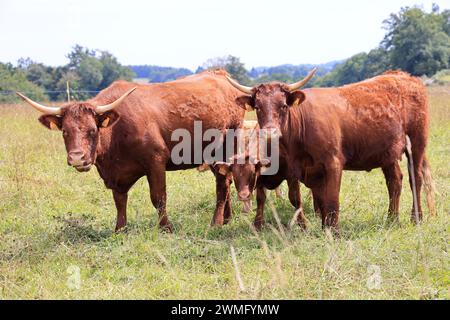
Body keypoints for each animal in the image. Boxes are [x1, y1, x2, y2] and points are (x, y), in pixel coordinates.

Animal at [17, 69, 244, 232]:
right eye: (65, 131)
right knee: (225, 181)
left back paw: (216, 222)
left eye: (92, 130)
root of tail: (219, 74)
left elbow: (158, 198)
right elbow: (119, 201)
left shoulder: (155, 161)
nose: (77, 158)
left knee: (222, 184)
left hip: (227, 145)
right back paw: (227, 218)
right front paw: (120, 230)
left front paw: (166, 228)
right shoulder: (115, 176)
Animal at [229, 70, 436, 234]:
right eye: (257, 107)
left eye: (284, 106)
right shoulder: (301, 171)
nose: (270, 132)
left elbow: (332, 200)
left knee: (415, 178)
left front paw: (334, 231)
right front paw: (323, 227)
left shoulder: (333, 163)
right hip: (388, 154)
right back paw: (391, 219)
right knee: (394, 182)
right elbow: (311, 199)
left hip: (417, 143)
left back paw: (416, 218)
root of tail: (402, 75)